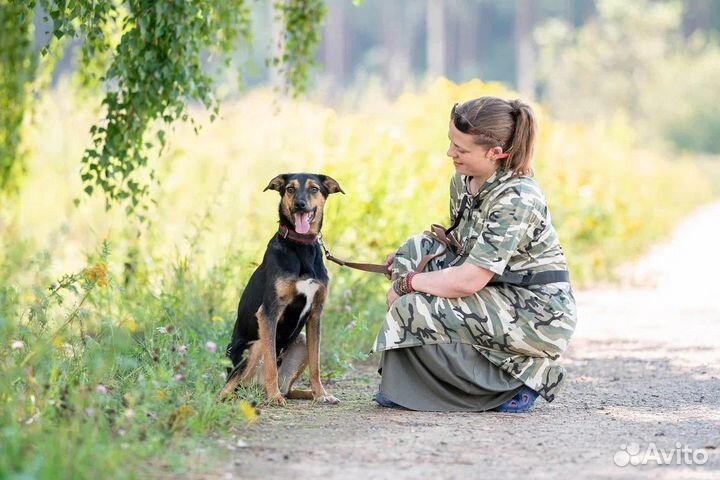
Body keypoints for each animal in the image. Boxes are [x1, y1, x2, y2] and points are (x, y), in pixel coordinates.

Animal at [219, 172, 344, 404]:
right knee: (227, 390)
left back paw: (311, 394)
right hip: (254, 346)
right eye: (290, 189)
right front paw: (275, 397)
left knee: (289, 388)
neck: (302, 246)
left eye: (314, 189)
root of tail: (255, 389)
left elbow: (316, 364)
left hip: (300, 341)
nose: (300, 205)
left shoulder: (315, 314)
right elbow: (270, 364)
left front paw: (321, 394)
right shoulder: (269, 313)